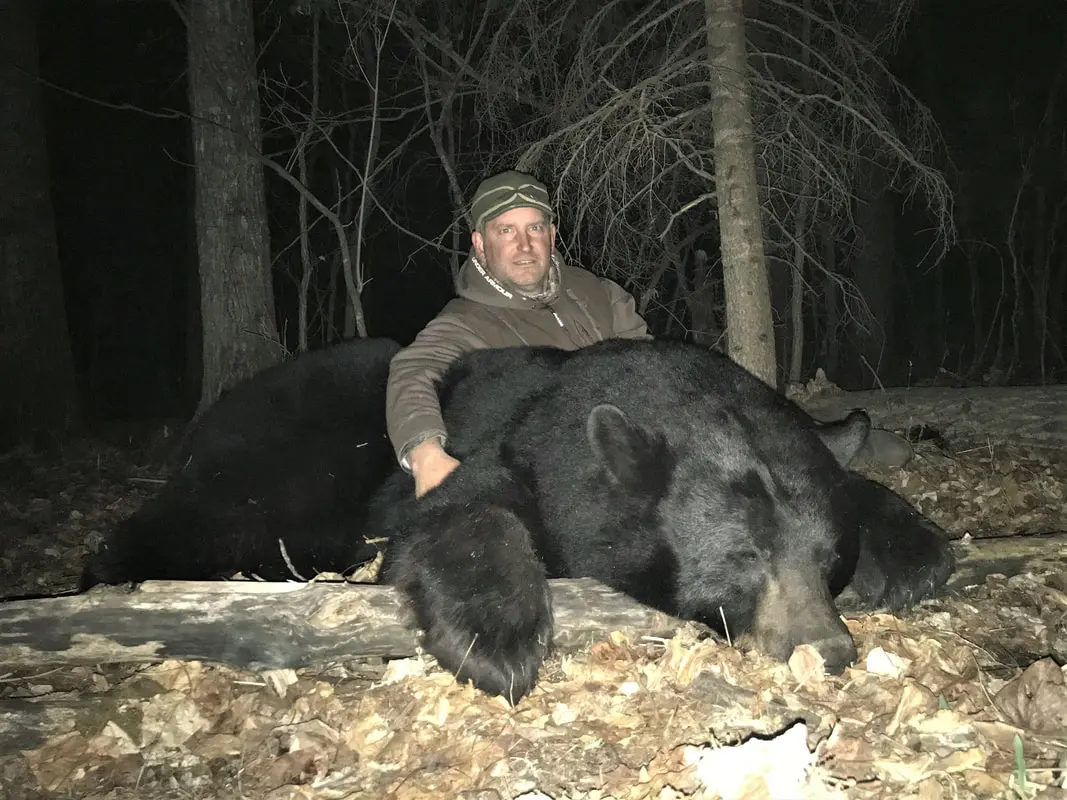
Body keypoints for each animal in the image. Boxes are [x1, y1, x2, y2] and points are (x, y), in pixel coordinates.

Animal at [369, 339, 956, 702]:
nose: (828, 650)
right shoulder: (527, 452)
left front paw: (914, 553)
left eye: (831, 557)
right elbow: (456, 509)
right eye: (748, 555)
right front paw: (496, 645)